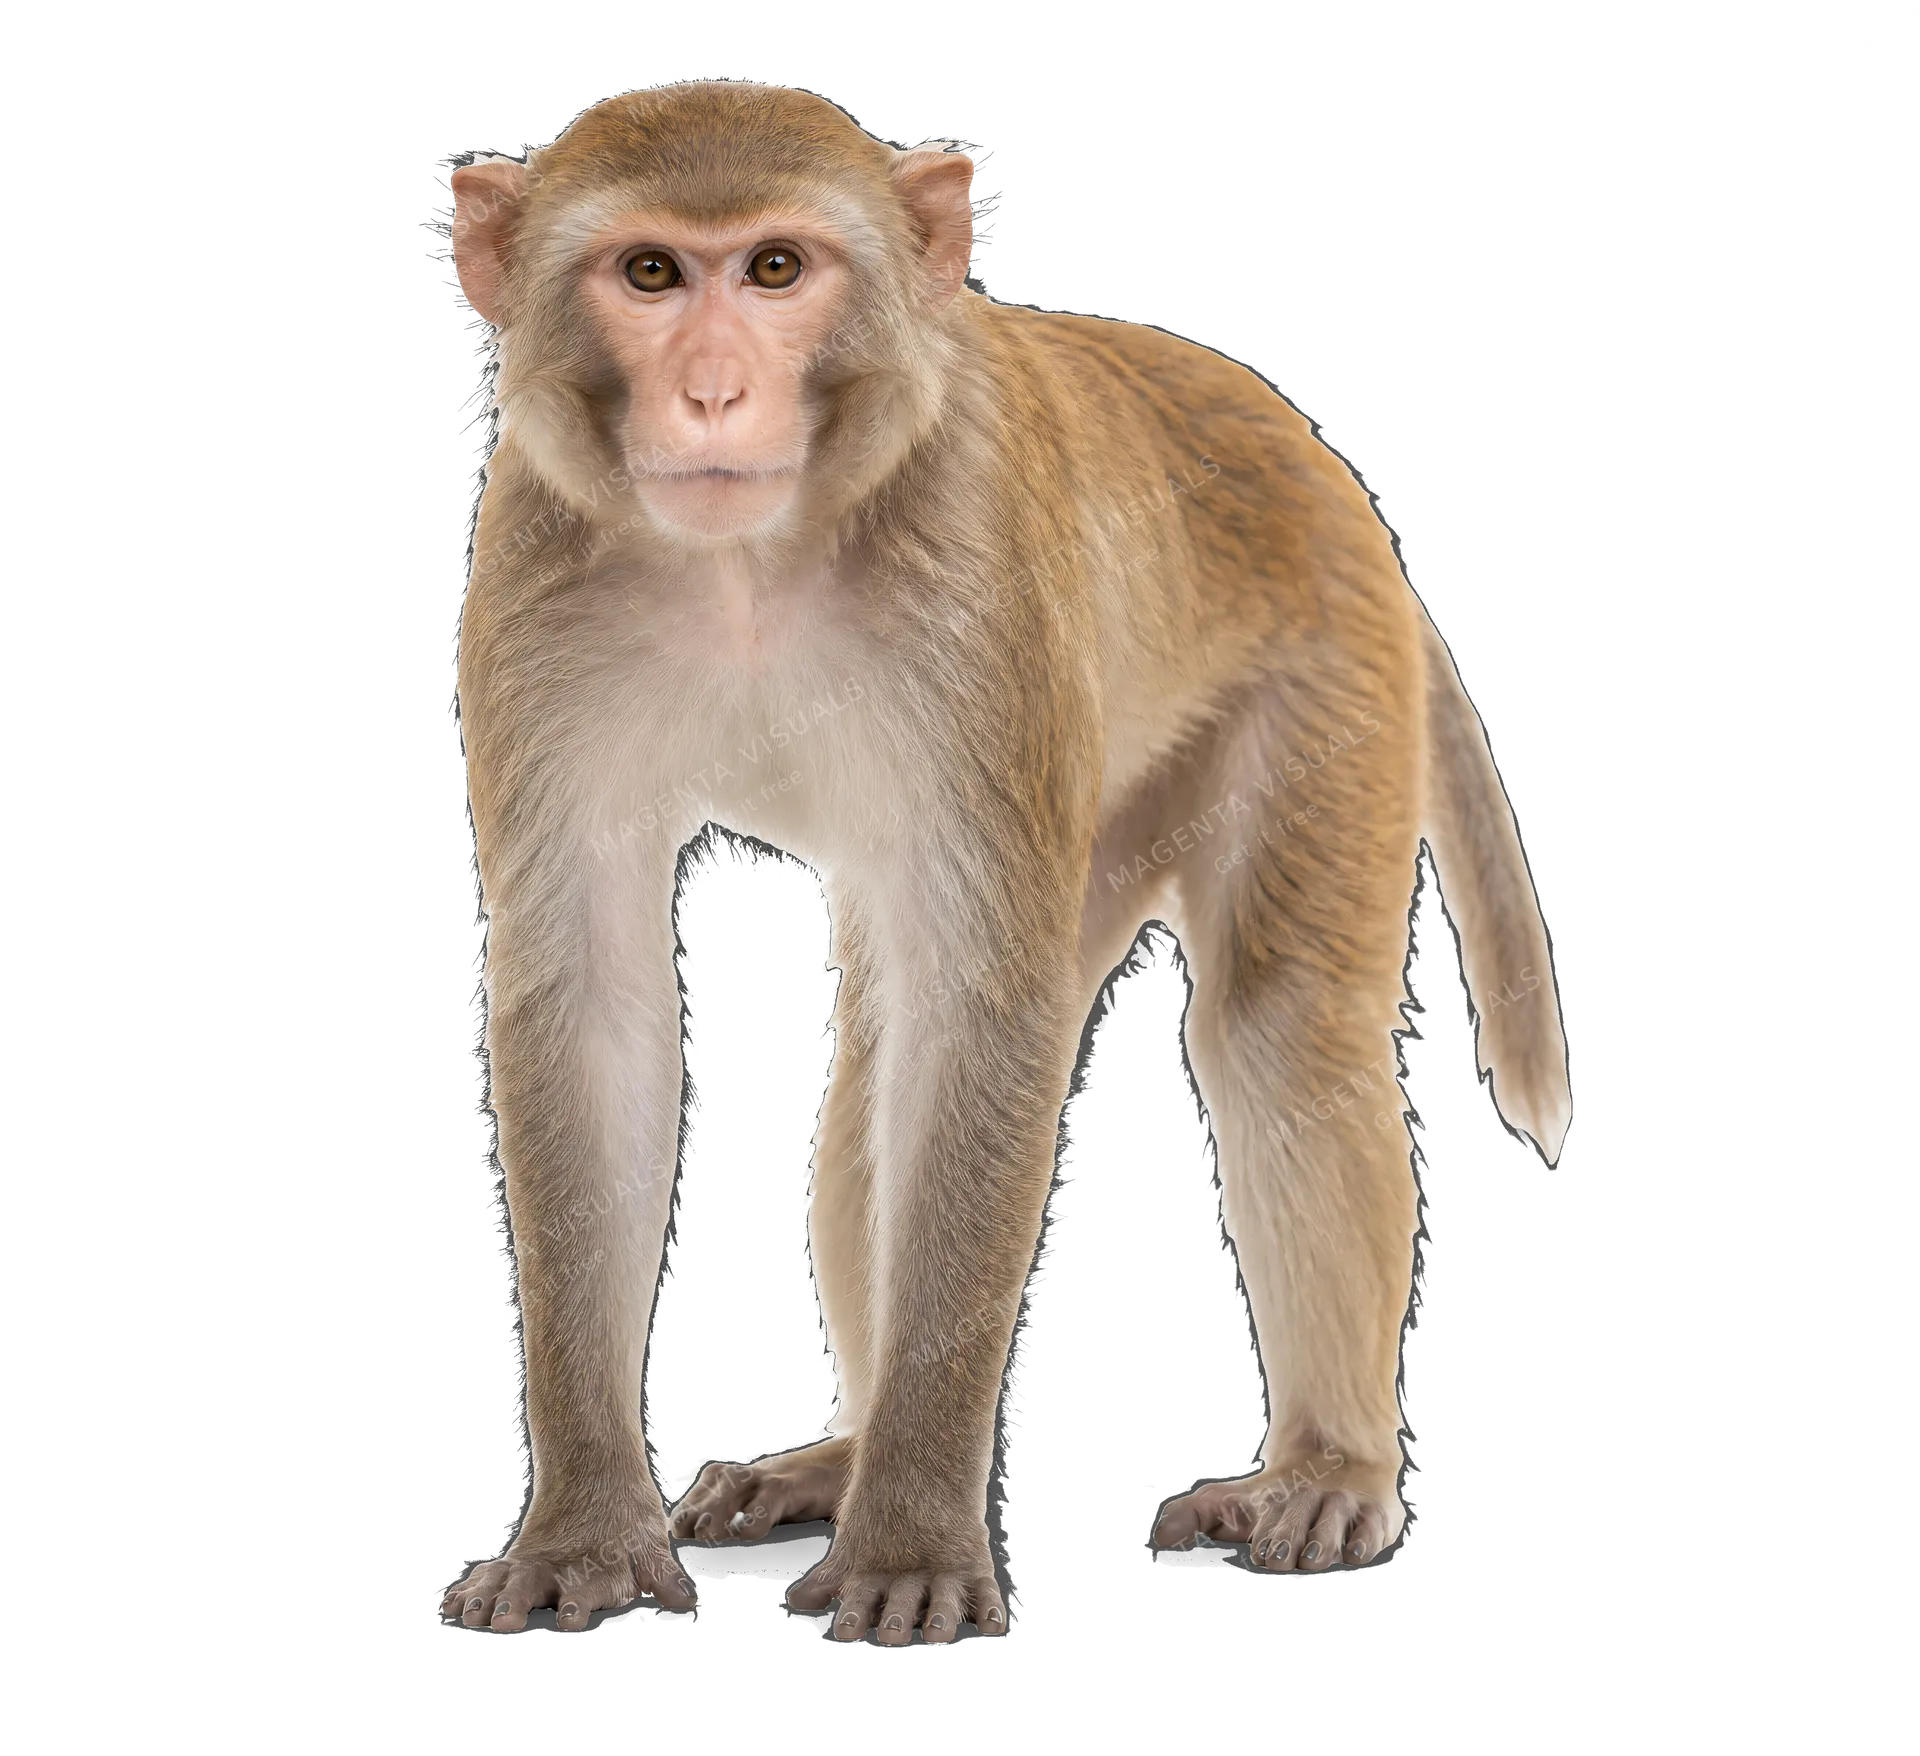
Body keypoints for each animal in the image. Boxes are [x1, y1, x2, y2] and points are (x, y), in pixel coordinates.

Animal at [439, 79, 1571, 1644]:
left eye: (776, 269)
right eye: (652, 273)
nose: (715, 393)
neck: (748, 565)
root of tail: (1323, 463)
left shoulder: (977, 580)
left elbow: (983, 1020)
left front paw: (915, 1542)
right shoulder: (534, 582)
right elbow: (596, 1003)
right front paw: (585, 1533)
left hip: (1322, 677)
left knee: (1274, 1024)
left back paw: (1325, 1470)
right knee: (877, 1057)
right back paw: (843, 1456)